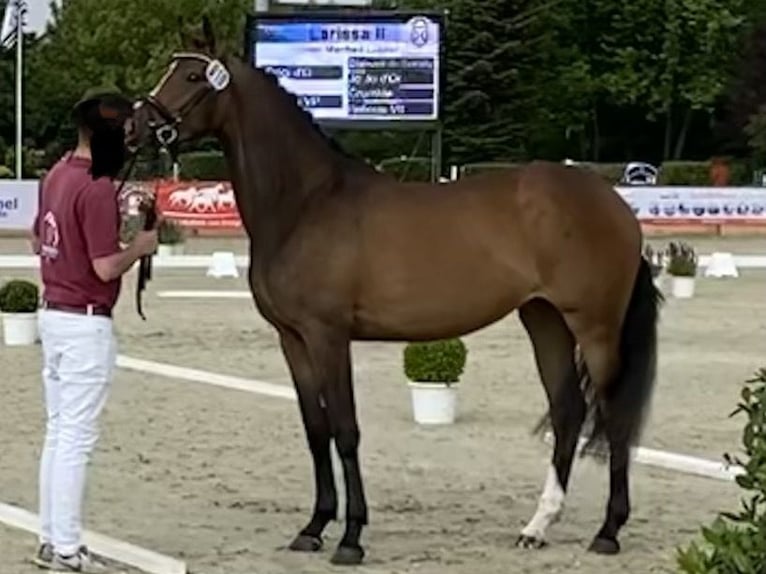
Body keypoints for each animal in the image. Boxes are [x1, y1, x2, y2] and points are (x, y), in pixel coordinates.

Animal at [128, 17, 663, 567]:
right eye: (172, 69)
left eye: (193, 77)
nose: (135, 126)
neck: (307, 203)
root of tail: (615, 203)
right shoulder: (292, 339)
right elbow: (316, 430)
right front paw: (314, 526)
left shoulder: (327, 336)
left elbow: (345, 431)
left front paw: (351, 537)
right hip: (544, 318)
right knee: (568, 410)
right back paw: (537, 525)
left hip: (594, 326)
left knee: (614, 414)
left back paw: (608, 530)